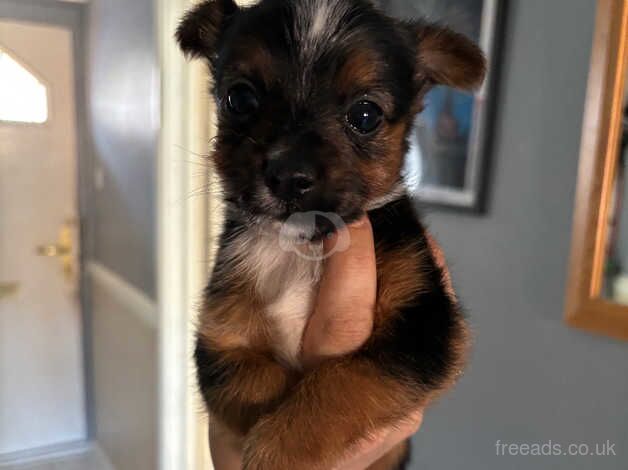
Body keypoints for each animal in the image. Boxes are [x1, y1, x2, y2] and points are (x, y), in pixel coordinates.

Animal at [177, 1, 486, 468]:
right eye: (239, 98)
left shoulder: (425, 326)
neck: (300, 247)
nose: (288, 175)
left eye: (365, 115)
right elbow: (256, 382)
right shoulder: (221, 339)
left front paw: (278, 449)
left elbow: (347, 381)